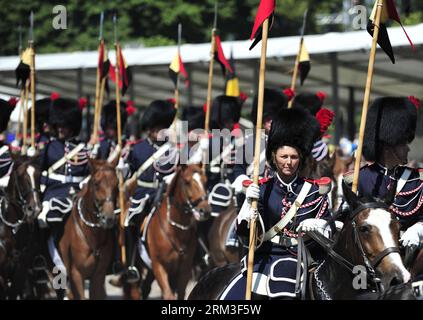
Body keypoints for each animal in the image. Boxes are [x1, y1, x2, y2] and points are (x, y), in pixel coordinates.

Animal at [58, 160, 119, 300]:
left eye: (117, 183)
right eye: (96, 183)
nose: (108, 218)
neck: (92, 234)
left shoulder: (98, 275)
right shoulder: (76, 274)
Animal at [134, 165, 210, 300]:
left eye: (205, 181)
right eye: (187, 182)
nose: (204, 211)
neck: (175, 230)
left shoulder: (184, 269)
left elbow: (180, 294)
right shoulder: (159, 266)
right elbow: (168, 295)